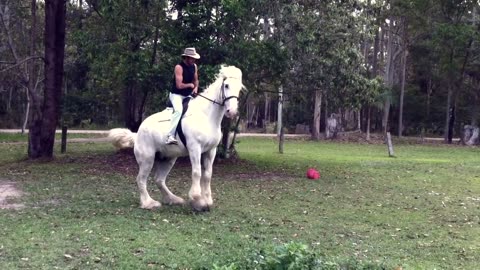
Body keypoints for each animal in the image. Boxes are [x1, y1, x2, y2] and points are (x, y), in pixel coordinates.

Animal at [108, 66, 244, 212]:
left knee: (159, 180)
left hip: (168, 159)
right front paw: (198, 200)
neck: (207, 117)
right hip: (147, 159)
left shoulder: (210, 150)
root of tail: (137, 132)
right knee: (141, 180)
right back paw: (148, 203)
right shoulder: (195, 148)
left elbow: (207, 174)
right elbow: (197, 172)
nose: (232, 111)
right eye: (226, 85)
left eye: (239, 88)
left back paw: (173, 199)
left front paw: (207, 200)